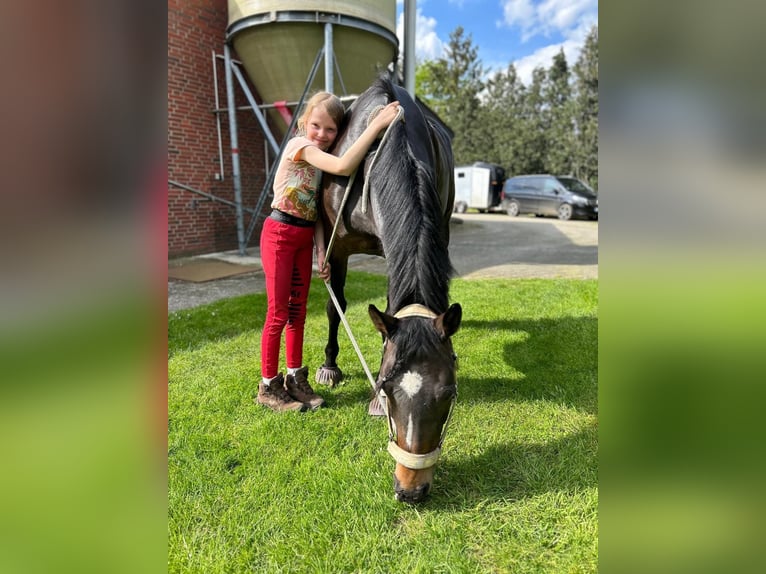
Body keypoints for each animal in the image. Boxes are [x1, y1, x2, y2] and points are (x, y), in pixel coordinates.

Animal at [315, 76, 462, 503]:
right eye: (385, 387)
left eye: (449, 393)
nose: (410, 489)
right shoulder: (338, 246)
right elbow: (336, 305)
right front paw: (330, 366)